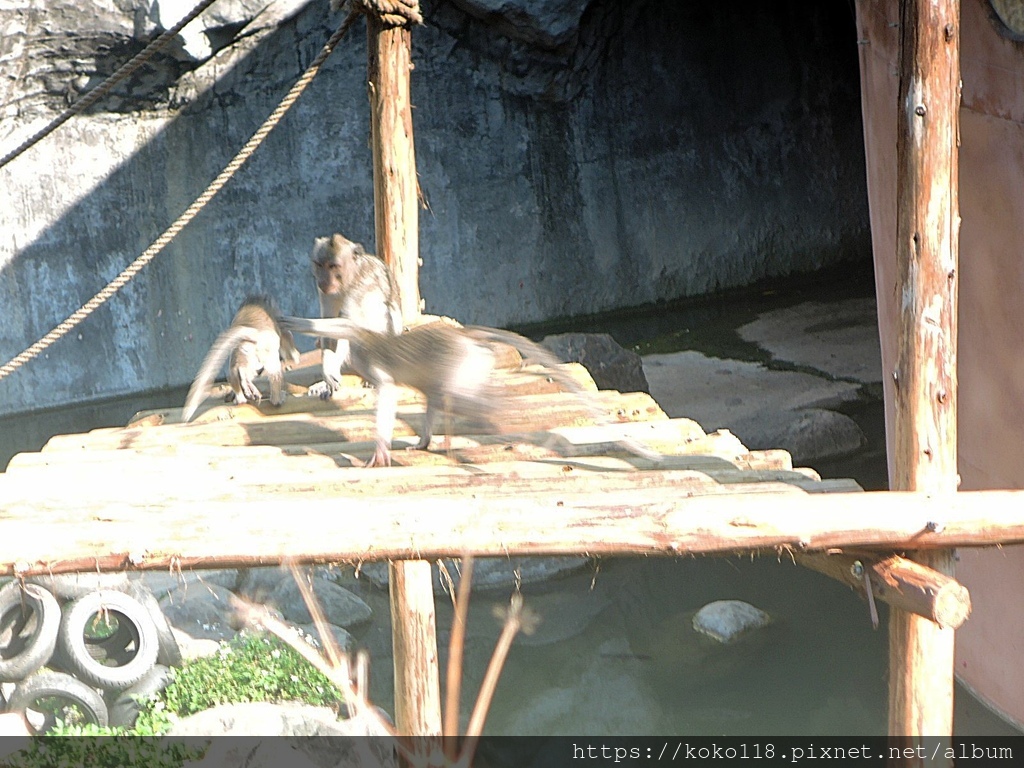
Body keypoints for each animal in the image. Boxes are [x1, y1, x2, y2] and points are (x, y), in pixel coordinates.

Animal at [182, 296, 299, 428]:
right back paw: (276, 399)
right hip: (263, 348)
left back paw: (242, 392)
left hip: (242, 354)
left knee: (235, 372)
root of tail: (251, 335)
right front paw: (294, 356)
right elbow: (286, 338)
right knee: (273, 369)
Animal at [276, 313, 659, 468]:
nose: (334, 354)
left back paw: (497, 414)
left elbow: (386, 388)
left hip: (463, 361)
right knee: (439, 395)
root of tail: (464, 336)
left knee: (460, 401)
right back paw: (428, 440)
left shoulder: (364, 347)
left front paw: (381, 448)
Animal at [307, 233, 399, 403]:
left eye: (333, 266)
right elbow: (330, 328)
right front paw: (328, 375)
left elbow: (349, 325)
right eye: (319, 264)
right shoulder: (324, 292)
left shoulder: (362, 284)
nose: (323, 280)